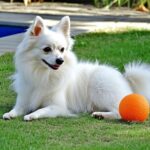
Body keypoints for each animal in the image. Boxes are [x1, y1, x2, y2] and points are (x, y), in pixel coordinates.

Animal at [2, 15, 150, 120]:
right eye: (47, 49)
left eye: (62, 49)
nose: (60, 60)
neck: (43, 74)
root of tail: (124, 77)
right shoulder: (23, 101)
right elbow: (17, 109)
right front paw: (9, 114)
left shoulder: (58, 107)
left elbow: (42, 109)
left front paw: (32, 115)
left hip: (101, 90)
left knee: (120, 111)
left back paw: (101, 115)